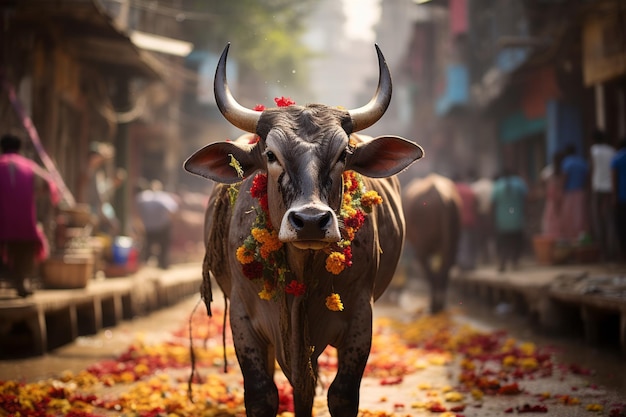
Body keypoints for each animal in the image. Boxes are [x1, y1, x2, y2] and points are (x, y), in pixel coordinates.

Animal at [183, 44, 422, 416]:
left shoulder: (360, 316)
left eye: (343, 154)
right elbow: (262, 394)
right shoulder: (243, 318)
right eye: (270, 154)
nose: (310, 220)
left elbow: (340, 394)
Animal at [402, 174, 460, 314]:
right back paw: (440, 305)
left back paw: (434, 307)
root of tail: (443, 197)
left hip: (424, 232)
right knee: (448, 264)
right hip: (454, 228)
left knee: (426, 264)